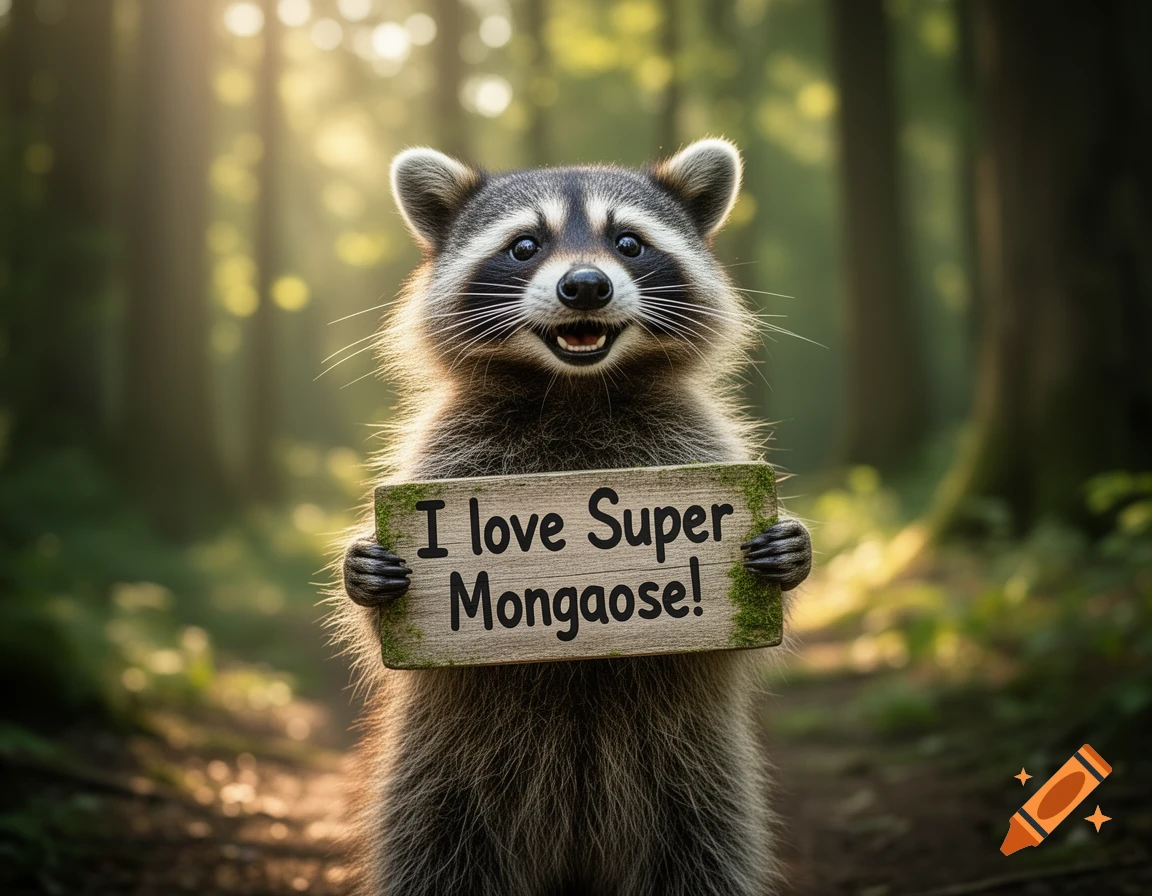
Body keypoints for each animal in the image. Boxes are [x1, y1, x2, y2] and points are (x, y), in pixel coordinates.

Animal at [335, 139, 812, 896]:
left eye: (629, 243)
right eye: (525, 245)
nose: (585, 286)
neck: (575, 389)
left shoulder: (696, 441)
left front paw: (786, 551)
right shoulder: (446, 452)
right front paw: (367, 572)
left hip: (694, 781)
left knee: (700, 856)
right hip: (441, 782)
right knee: (438, 857)